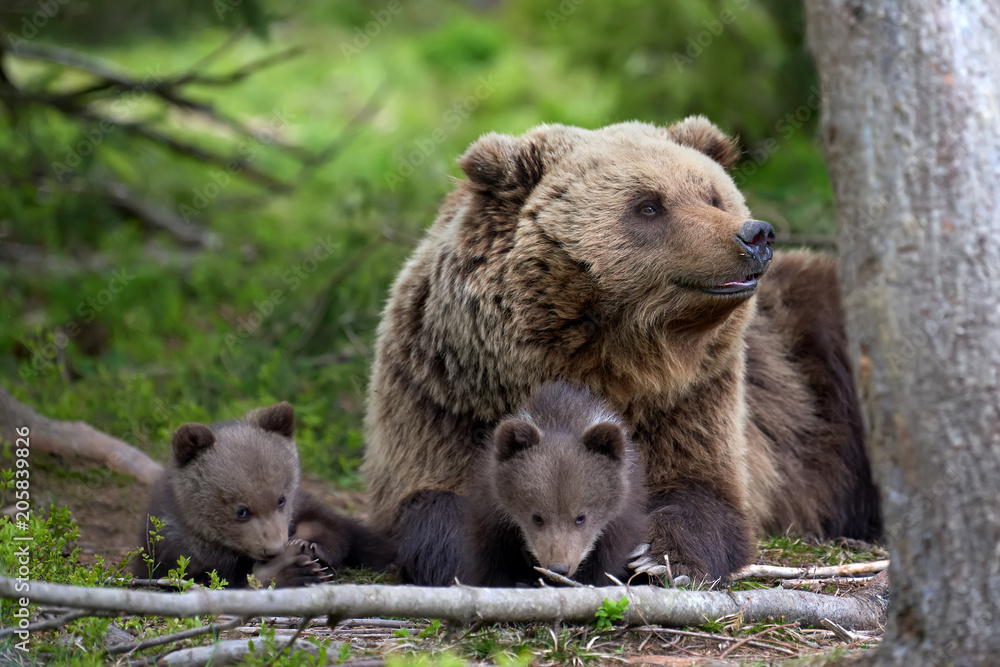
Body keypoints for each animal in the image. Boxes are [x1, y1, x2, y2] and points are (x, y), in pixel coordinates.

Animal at [135, 402, 395, 587]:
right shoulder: (178, 551)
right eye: (241, 511)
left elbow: (332, 526)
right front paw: (292, 570)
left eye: (281, 499)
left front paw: (309, 545)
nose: (274, 549)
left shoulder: (301, 504)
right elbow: (218, 580)